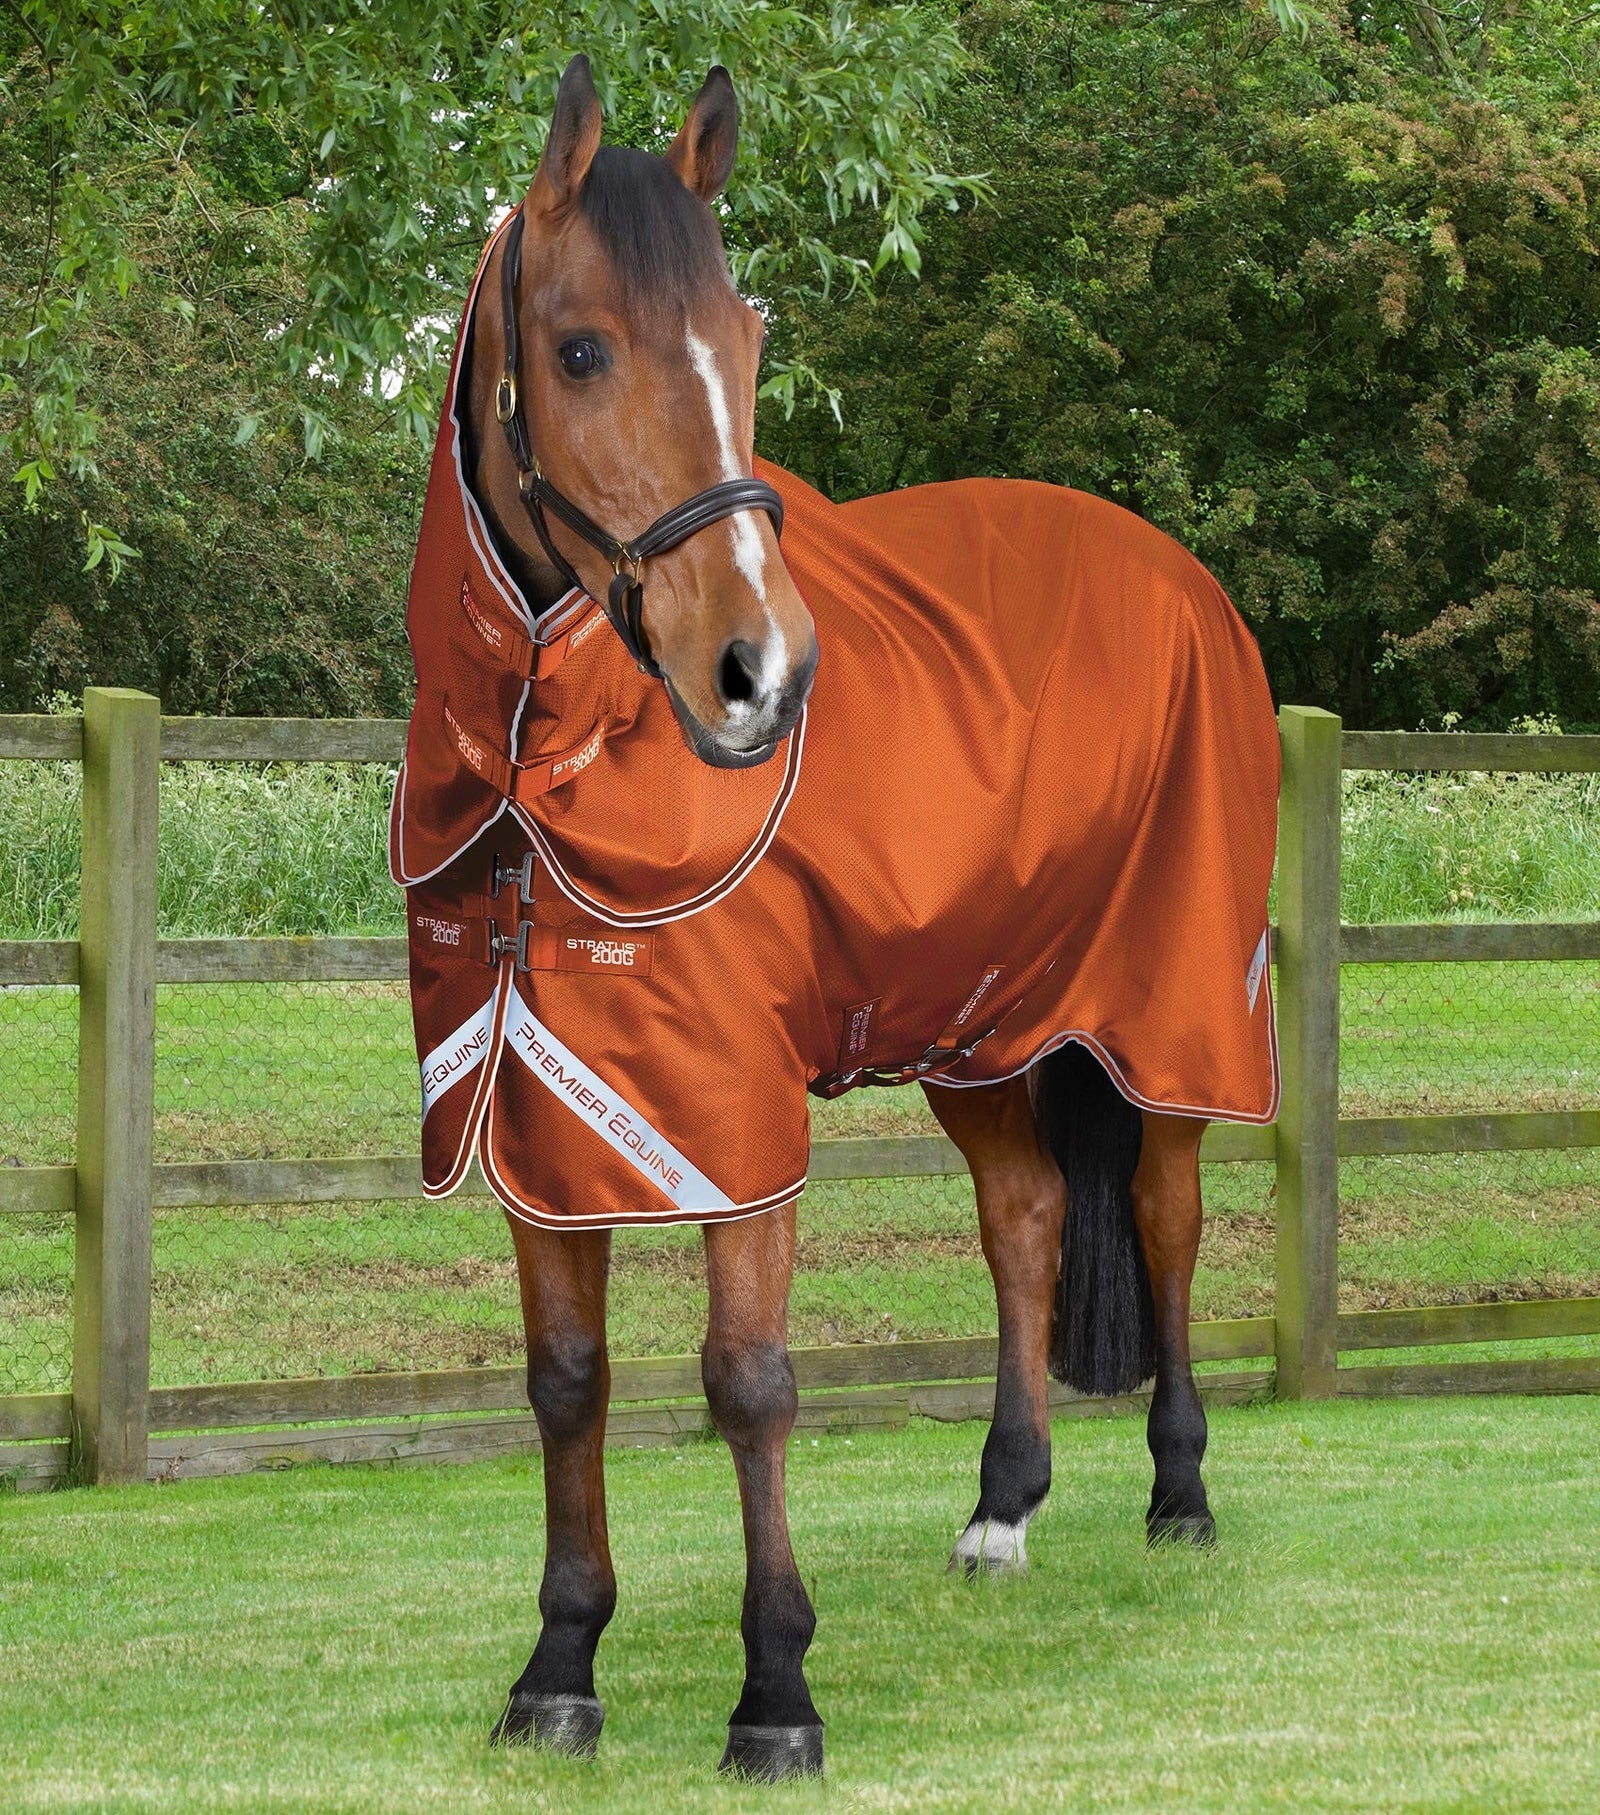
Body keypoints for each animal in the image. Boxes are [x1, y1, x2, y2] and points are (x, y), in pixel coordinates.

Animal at [391, 54, 1280, 1782]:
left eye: (745, 343)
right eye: (581, 346)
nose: (763, 673)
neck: (551, 764)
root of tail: (1184, 578)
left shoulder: (729, 1117)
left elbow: (748, 1381)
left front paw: (776, 1689)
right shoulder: (539, 1104)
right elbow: (567, 1380)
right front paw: (559, 1666)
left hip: (1167, 1015)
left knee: (1164, 1213)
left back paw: (1185, 1491)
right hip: (984, 1030)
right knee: (1026, 1219)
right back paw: (1002, 1509)